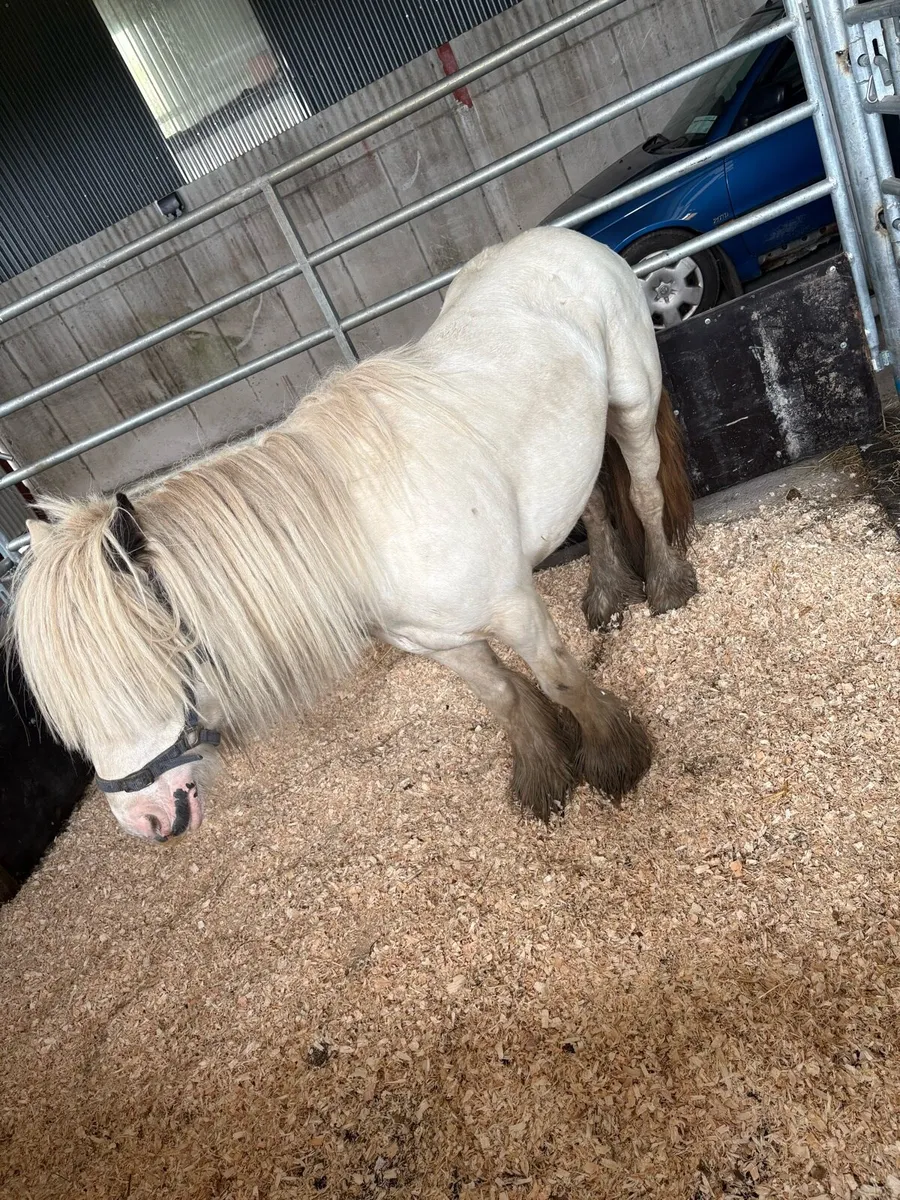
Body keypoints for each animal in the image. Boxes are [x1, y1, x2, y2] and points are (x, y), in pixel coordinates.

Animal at [7, 227, 697, 843]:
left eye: (138, 677)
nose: (144, 821)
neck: (364, 531)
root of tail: (571, 239)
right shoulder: (439, 643)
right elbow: (501, 698)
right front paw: (543, 777)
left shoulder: (514, 610)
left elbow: (558, 680)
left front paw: (614, 759)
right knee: (596, 508)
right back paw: (606, 594)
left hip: (633, 405)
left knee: (642, 494)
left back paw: (666, 586)